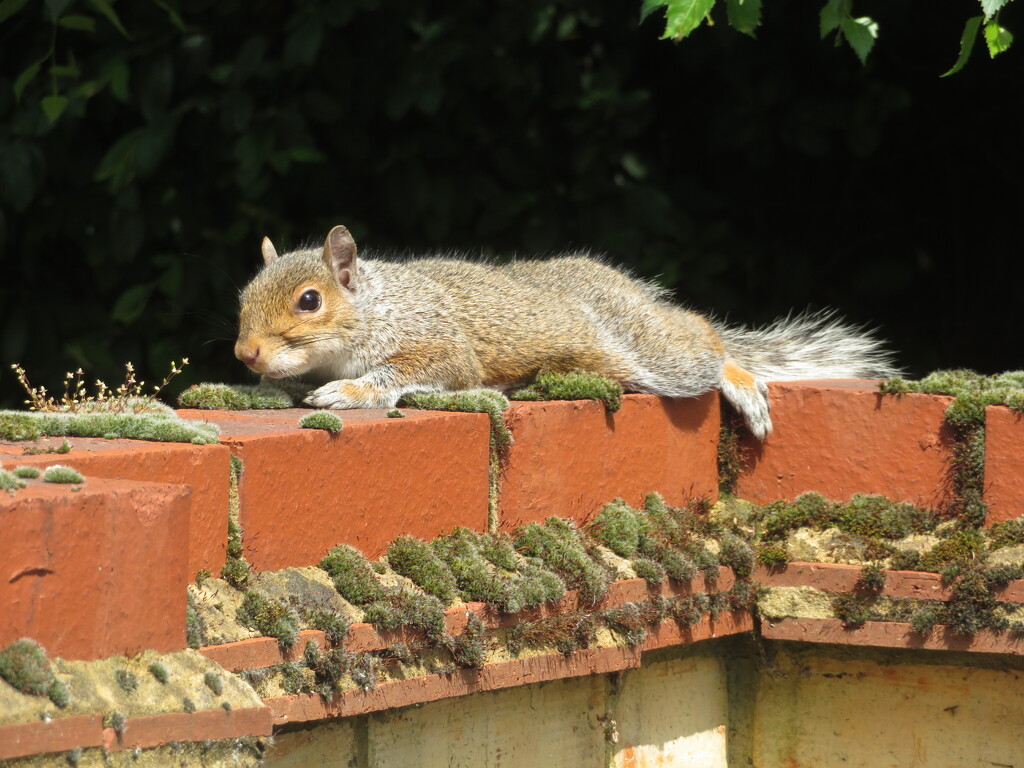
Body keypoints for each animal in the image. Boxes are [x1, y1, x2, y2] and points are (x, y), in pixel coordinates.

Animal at [234, 224, 897, 438]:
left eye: (310, 300)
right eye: (242, 296)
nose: (246, 352)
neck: (377, 305)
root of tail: (631, 293)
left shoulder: (441, 342)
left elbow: (418, 370)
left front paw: (346, 392)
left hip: (655, 354)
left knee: (703, 339)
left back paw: (739, 379)